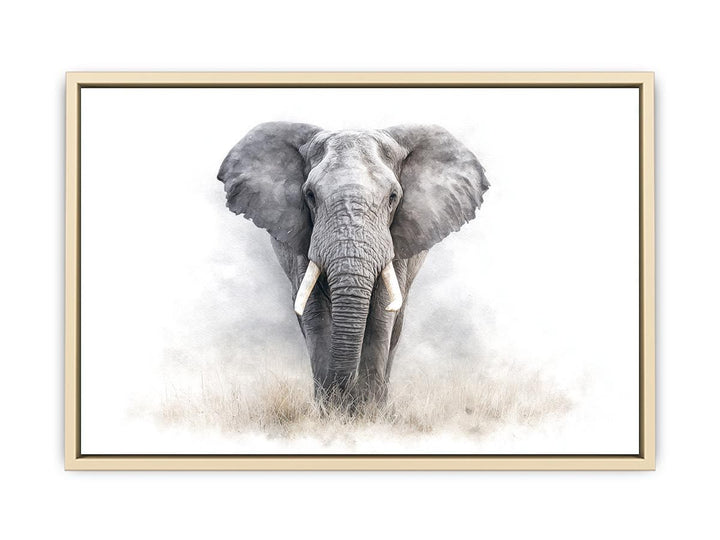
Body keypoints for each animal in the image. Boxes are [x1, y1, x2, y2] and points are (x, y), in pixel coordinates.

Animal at [217, 122, 489, 407]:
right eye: (310, 195)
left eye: (393, 197)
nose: (345, 399)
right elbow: (314, 311)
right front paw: (331, 410)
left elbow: (381, 312)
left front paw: (367, 411)